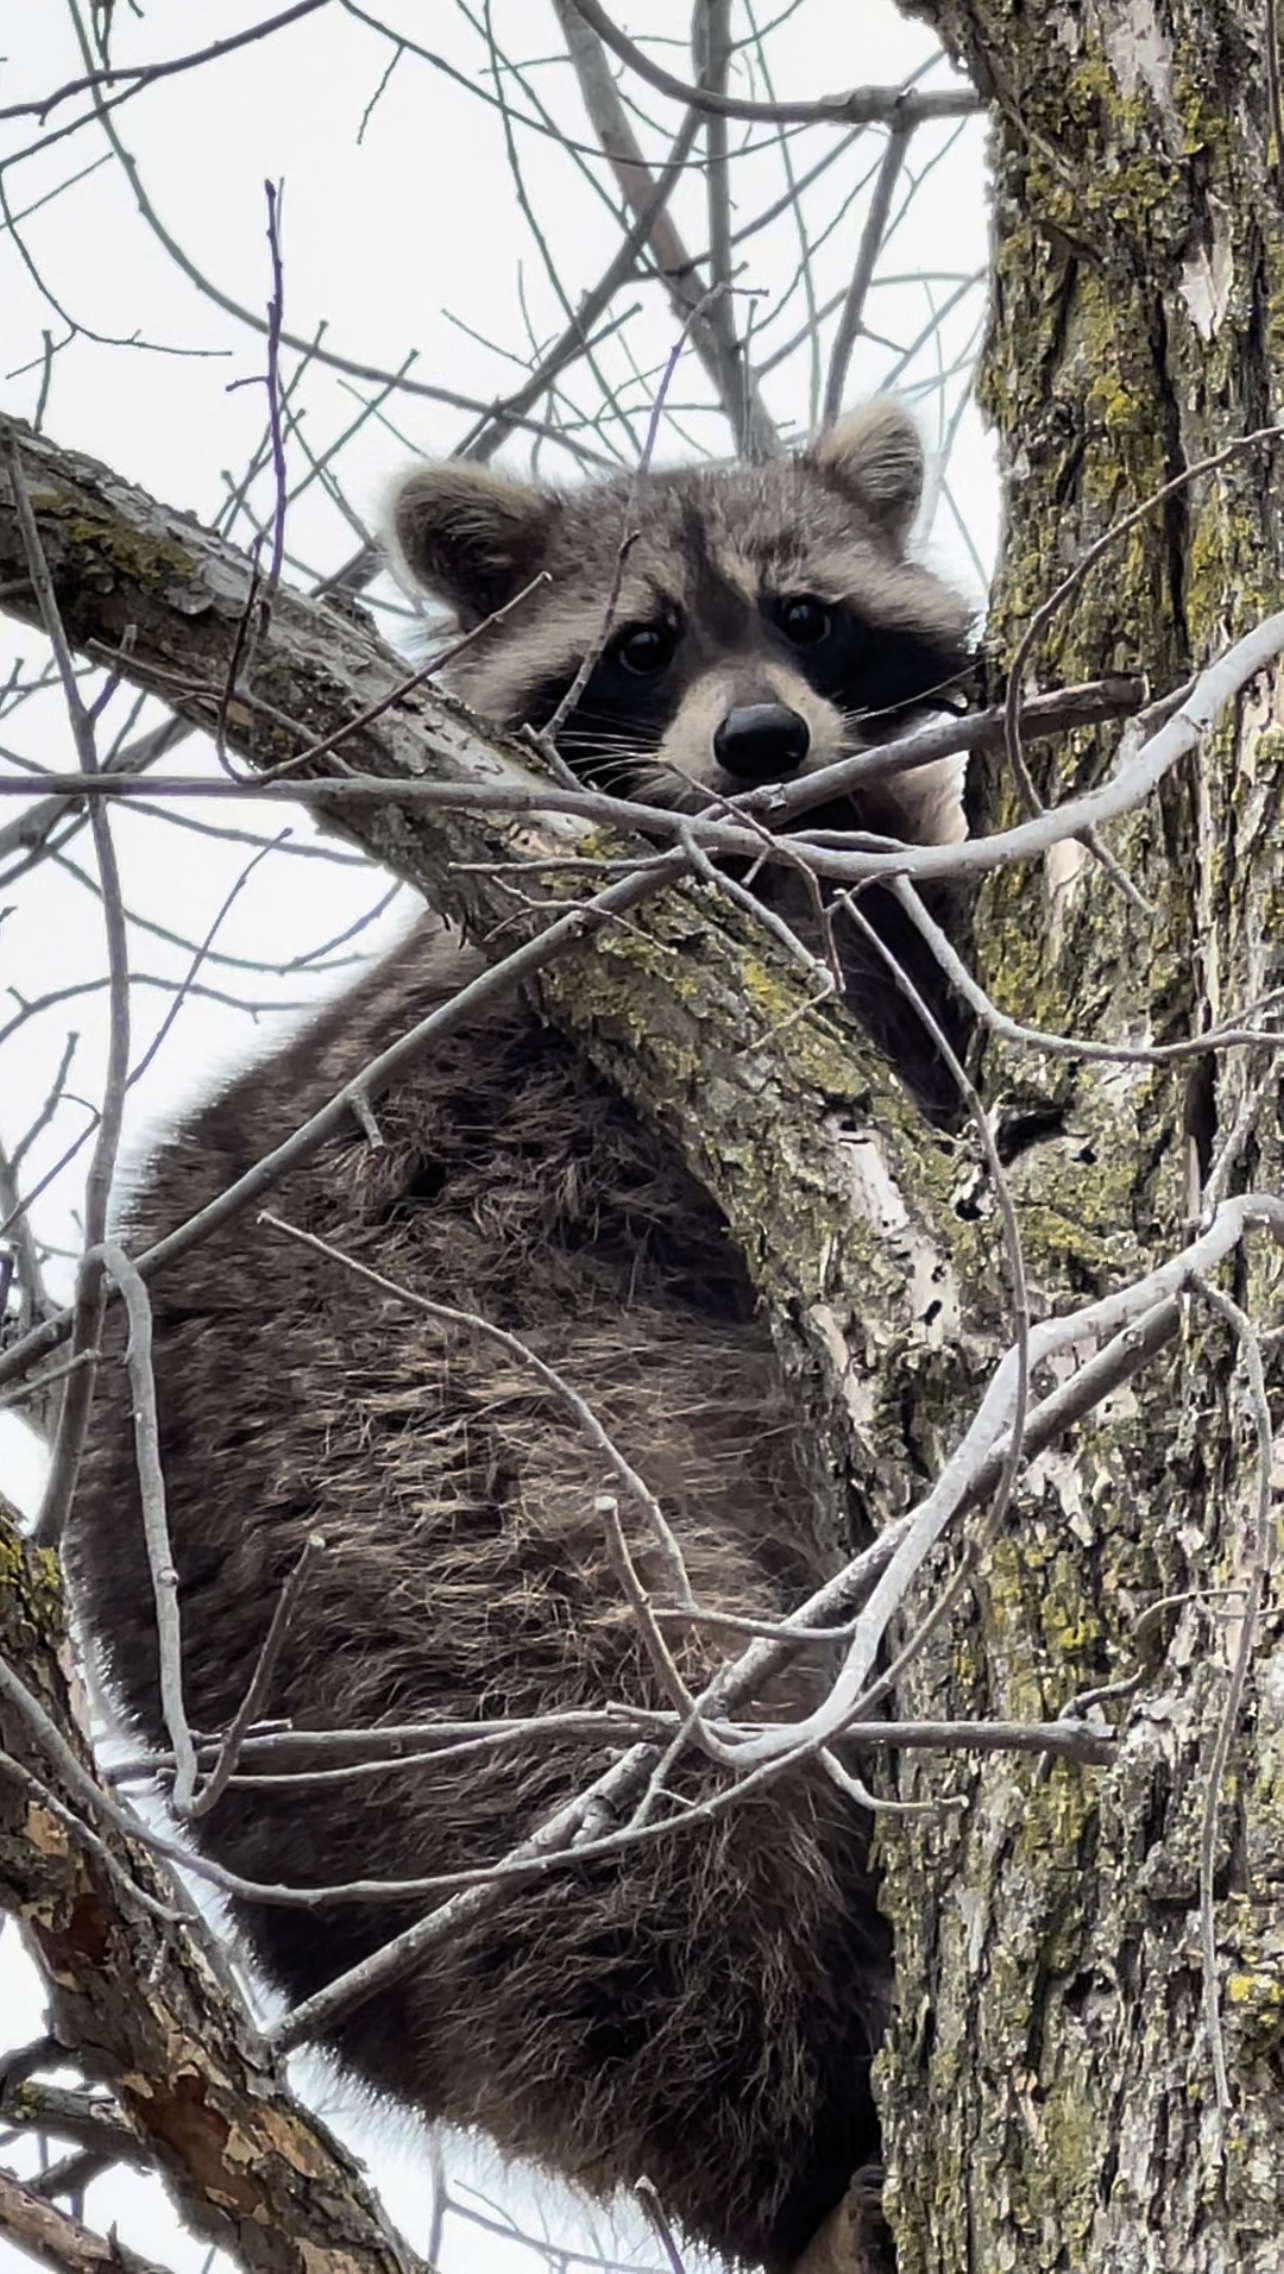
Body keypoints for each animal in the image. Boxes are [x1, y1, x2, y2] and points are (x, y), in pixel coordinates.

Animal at [70, 404, 972, 2274]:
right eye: (641, 646)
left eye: (808, 616)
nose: (763, 739)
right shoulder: (657, 998)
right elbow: (918, 1013)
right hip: (462, 1514)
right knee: (647, 1835)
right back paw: (801, 2078)